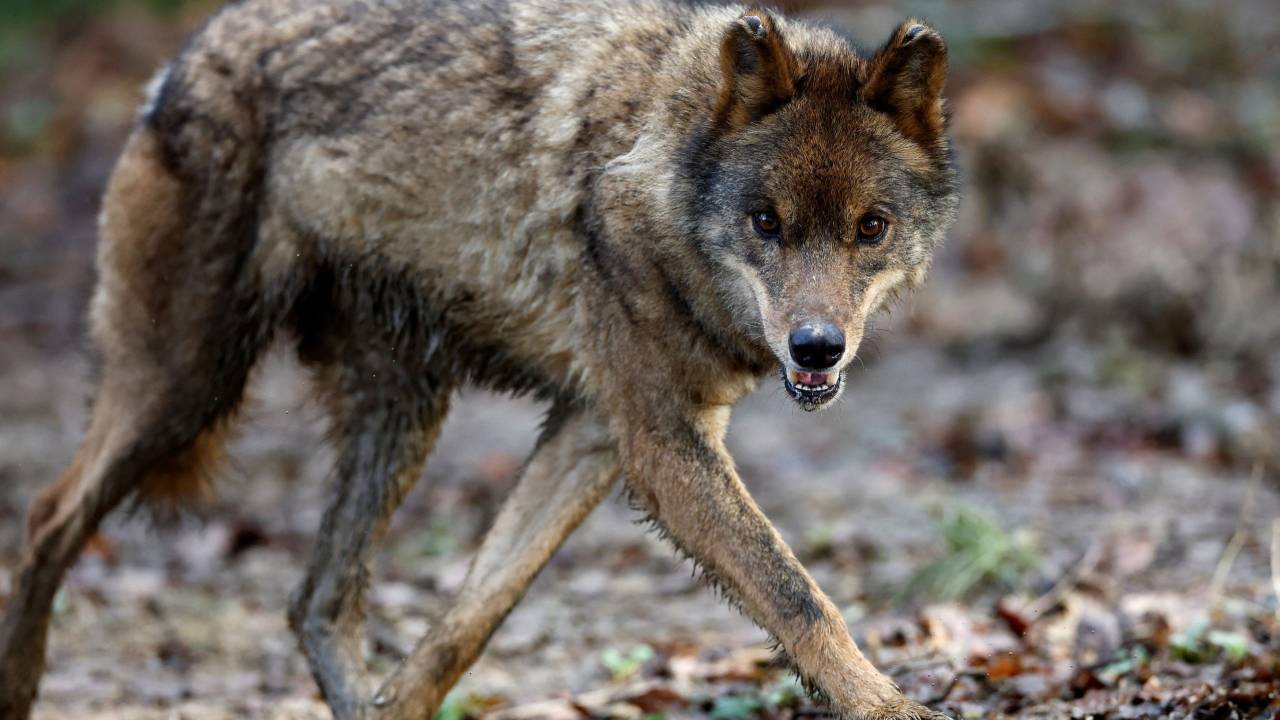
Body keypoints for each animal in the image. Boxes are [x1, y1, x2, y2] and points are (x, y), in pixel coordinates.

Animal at [0, 0, 959, 717]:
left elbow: (467, 620)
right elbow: (799, 597)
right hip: (186, 385)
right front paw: (894, 708)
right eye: (767, 222)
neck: (656, 151)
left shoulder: (596, 435)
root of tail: (185, 55)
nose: (816, 346)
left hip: (402, 412)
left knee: (318, 603)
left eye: (870, 227)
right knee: (47, 519)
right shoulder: (660, 443)